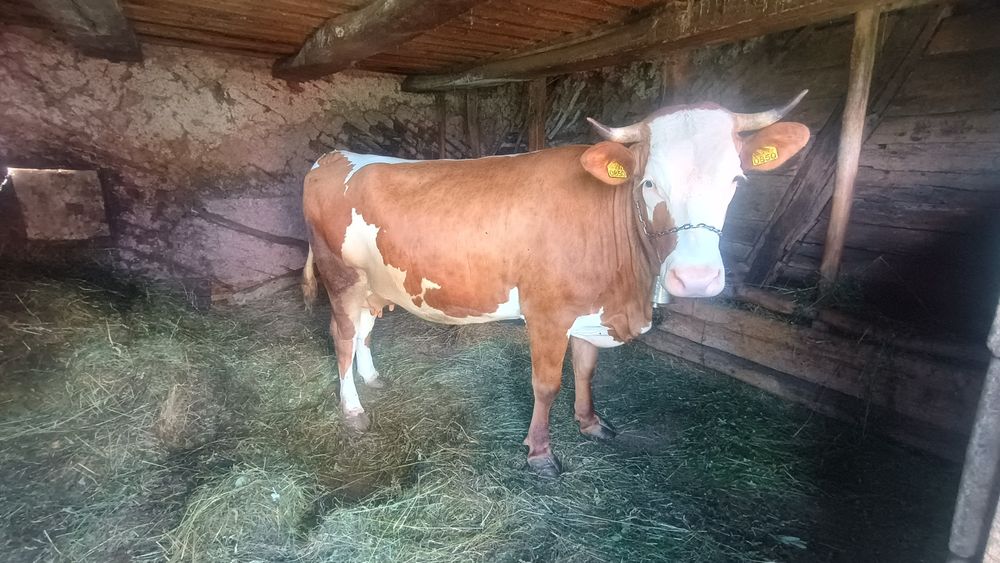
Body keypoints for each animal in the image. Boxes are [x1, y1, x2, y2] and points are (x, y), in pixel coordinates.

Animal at [301, 91, 810, 477]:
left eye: (737, 179)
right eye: (647, 183)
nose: (697, 279)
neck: (629, 294)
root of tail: (332, 157)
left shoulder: (590, 310)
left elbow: (586, 370)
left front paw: (590, 423)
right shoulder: (547, 313)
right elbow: (546, 384)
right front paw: (540, 454)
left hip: (375, 283)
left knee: (365, 329)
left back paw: (372, 378)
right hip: (340, 277)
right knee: (341, 335)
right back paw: (352, 409)